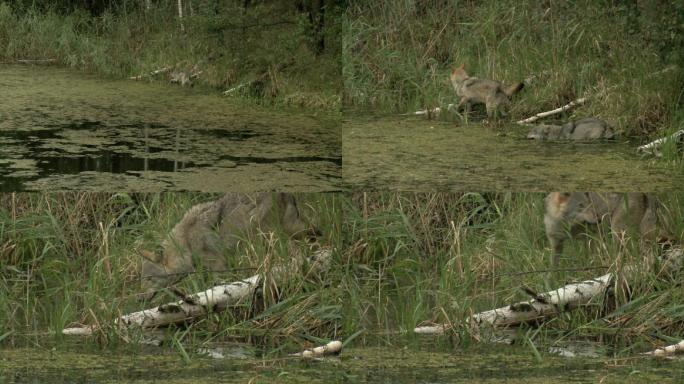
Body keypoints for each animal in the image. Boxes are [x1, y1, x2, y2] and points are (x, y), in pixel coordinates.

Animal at [141, 194, 320, 298]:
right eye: (143, 280)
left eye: (149, 279)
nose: (139, 298)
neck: (186, 242)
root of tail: (286, 193)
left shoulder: (219, 264)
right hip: (292, 230)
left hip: (268, 237)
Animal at [544, 192, 672, 264]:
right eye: (581, 205)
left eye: (590, 204)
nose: (598, 219)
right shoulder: (556, 244)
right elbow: (552, 270)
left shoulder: (590, 238)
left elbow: (590, 259)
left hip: (617, 232)